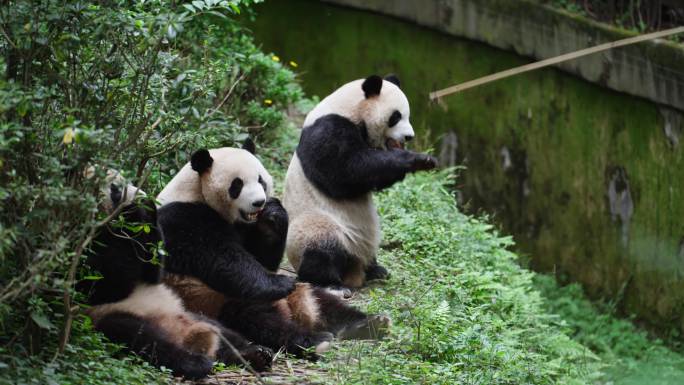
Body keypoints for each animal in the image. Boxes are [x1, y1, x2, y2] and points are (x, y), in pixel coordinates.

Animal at [81, 179, 272, 378]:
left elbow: (151, 269)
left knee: (224, 333)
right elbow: (105, 284)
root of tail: (186, 337)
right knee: (139, 337)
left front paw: (147, 209)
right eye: (114, 190)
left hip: (191, 314)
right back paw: (195, 363)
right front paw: (131, 211)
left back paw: (254, 354)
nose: (132, 192)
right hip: (112, 318)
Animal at [156, 143, 390, 356]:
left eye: (260, 180)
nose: (259, 202)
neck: (196, 191)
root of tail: (294, 310)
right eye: (237, 184)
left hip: (307, 292)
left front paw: (273, 215)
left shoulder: (245, 227)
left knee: (327, 304)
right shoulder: (183, 218)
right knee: (258, 319)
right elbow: (223, 259)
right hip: (212, 299)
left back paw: (369, 323)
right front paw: (280, 283)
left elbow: (262, 258)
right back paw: (313, 340)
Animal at [284, 73, 438, 286]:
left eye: (407, 115)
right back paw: (329, 280)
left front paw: (425, 160)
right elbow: (345, 172)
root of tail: (354, 271)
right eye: (396, 116)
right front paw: (416, 160)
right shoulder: (328, 129)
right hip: (317, 225)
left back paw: (376, 270)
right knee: (322, 246)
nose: (409, 137)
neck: (350, 109)